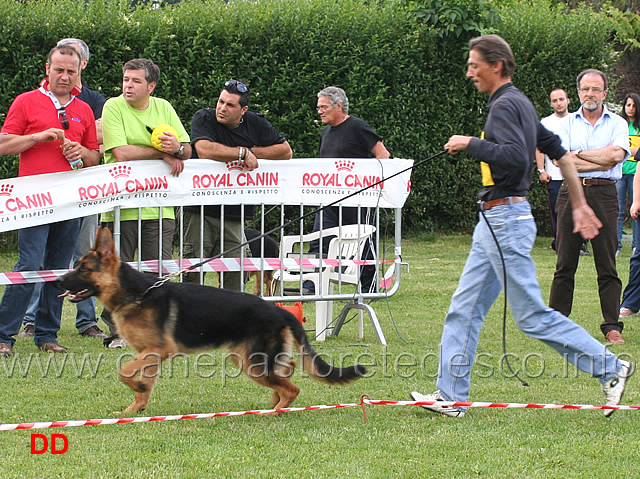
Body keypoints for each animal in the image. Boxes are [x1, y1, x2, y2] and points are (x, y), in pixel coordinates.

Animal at [57, 231, 368, 414]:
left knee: (292, 387)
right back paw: (274, 400)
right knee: (287, 369)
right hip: (245, 358)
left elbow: (123, 372)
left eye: (83, 269)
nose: (58, 281)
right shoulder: (151, 356)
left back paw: (276, 410)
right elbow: (141, 384)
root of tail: (283, 312)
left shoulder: (158, 351)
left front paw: (136, 393)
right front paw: (134, 410)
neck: (135, 293)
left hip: (252, 364)